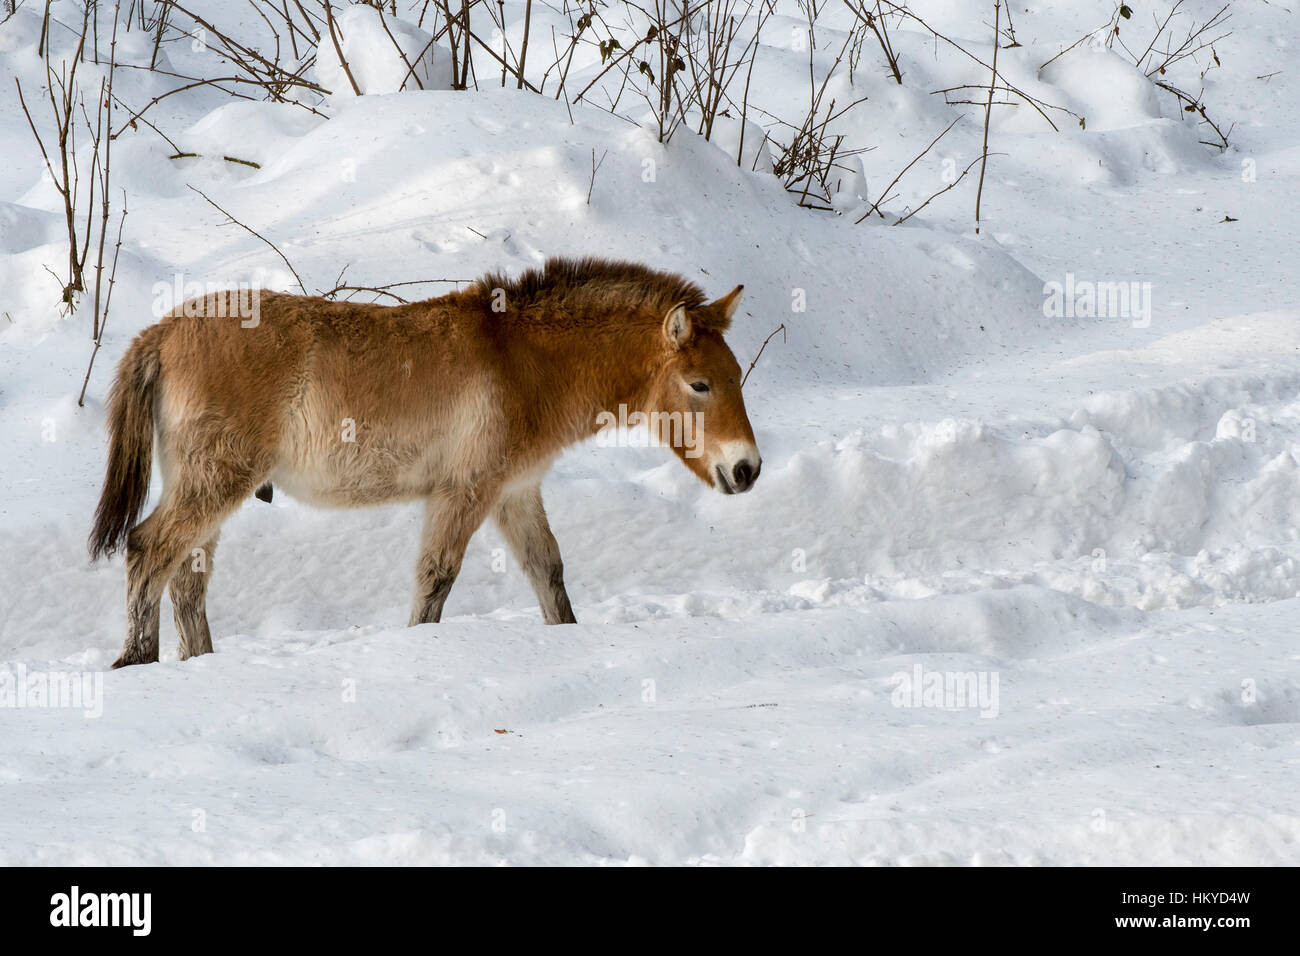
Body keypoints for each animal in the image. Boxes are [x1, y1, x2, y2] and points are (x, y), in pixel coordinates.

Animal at [89, 257, 759, 671]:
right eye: (699, 385)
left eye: (735, 376)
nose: (746, 469)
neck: (524, 362)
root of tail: (160, 333)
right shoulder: (465, 494)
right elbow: (435, 581)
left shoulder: (515, 494)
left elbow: (549, 575)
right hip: (215, 483)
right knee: (149, 552)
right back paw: (137, 660)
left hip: (209, 488)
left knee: (187, 578)